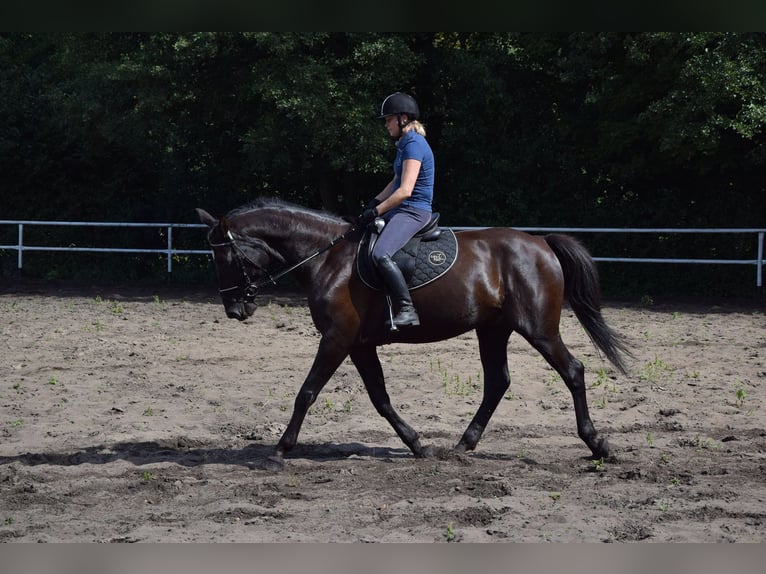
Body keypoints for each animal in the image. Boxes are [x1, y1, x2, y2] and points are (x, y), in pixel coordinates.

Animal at [197, 197, 632, 470]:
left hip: (538, 329)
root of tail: (541, 242)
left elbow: (307, 392)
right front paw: (418, 444)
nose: (234, 309)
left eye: (225, 256)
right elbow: (380, 399)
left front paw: (279, 451)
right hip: (493, 330)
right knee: (497, 382)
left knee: (572, 371)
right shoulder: (360, 345)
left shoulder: (337, 339)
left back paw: (597, 444)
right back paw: (463, 444)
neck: (327, 257)